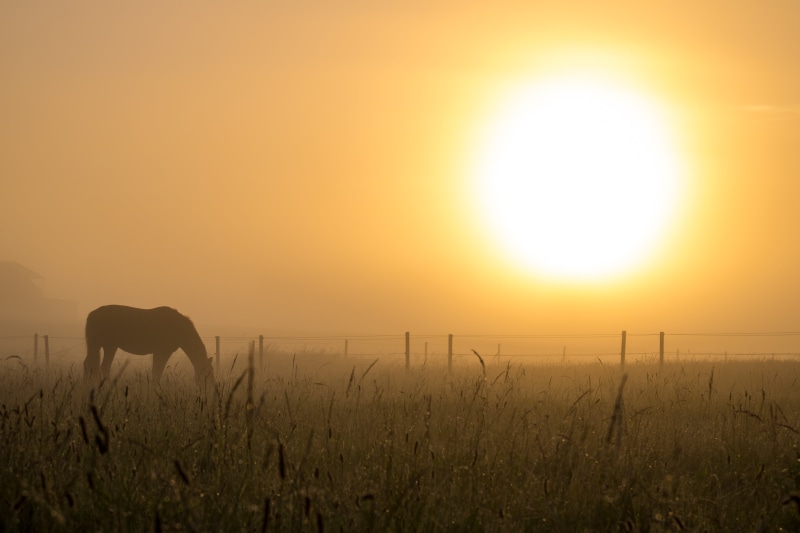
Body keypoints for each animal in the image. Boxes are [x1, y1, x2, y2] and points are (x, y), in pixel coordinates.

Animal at [83, 305, 214, 385]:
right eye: (208, 373)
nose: (210, 388)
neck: (178, 327)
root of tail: (91, 315)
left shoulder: (159, 352)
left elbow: (156, 371)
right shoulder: (163, 352)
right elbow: (157, 371)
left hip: (107, 346)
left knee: (98, 366)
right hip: (101, 345)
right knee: (95, 366)